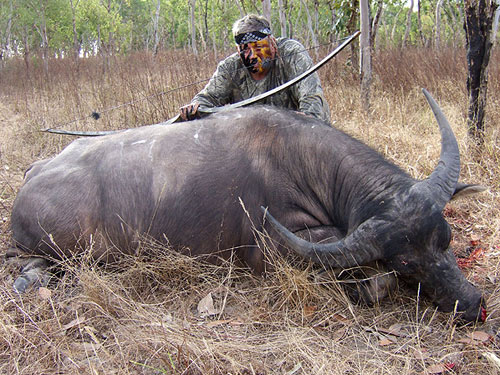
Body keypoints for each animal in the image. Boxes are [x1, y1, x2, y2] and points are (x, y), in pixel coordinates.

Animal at [7, 90, 484, 324]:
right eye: (405, 263)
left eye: (446, 239)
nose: (472, 304)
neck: (301, 157)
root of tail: (35, 171)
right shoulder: (270, 253)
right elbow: (375, 281)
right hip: (70, 250)